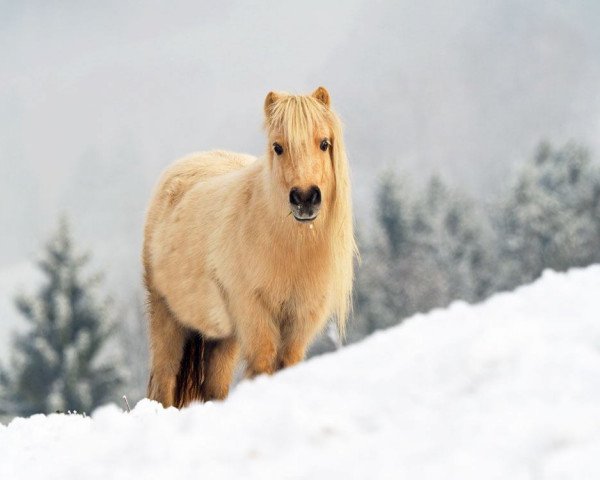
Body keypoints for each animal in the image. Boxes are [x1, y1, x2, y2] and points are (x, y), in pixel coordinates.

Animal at [144, 85, 356, 404]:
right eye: (278, 147)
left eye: (324, 143)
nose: (305, 198)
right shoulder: (255, 314)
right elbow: (264, 363)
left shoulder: (299, 321)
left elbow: (287, 364)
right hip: (166, 317)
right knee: (165, 380)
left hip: (222, 337)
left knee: (215, 386)